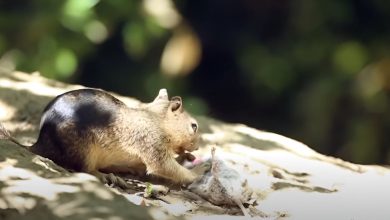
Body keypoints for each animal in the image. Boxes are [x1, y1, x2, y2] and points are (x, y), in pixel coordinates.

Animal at [0, 88, 210, 188]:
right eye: (194, 126)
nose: (198, 147)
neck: (155, 119)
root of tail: (40, 143)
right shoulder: (152, 143)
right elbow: (164, 167)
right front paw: (198, 172)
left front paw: (186, 158)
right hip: (84, 149)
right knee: (84, 170)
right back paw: (106, 176)